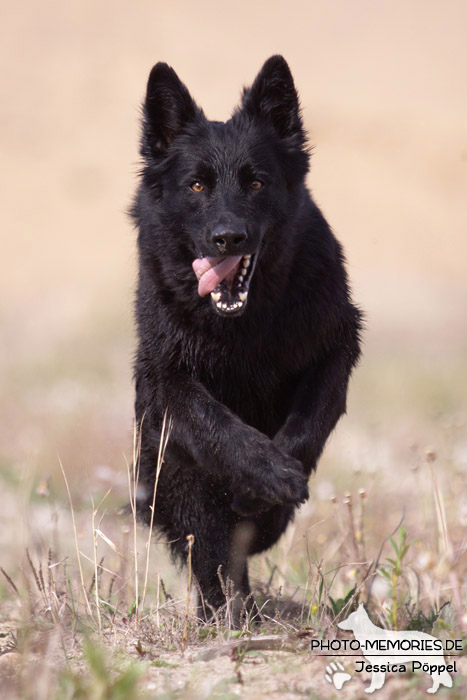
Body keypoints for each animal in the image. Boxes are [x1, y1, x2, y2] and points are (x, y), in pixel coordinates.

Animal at [130, 56, 364, 616]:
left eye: (256, 184)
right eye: (196, 186)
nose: (228, 237)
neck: (243, 323)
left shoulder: (337, 347)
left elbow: (308, 423)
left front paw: (270, 484)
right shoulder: (168, 377)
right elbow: (216, 422)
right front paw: (266, 472)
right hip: (170, 469)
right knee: (211, 552)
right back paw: (226, 614)